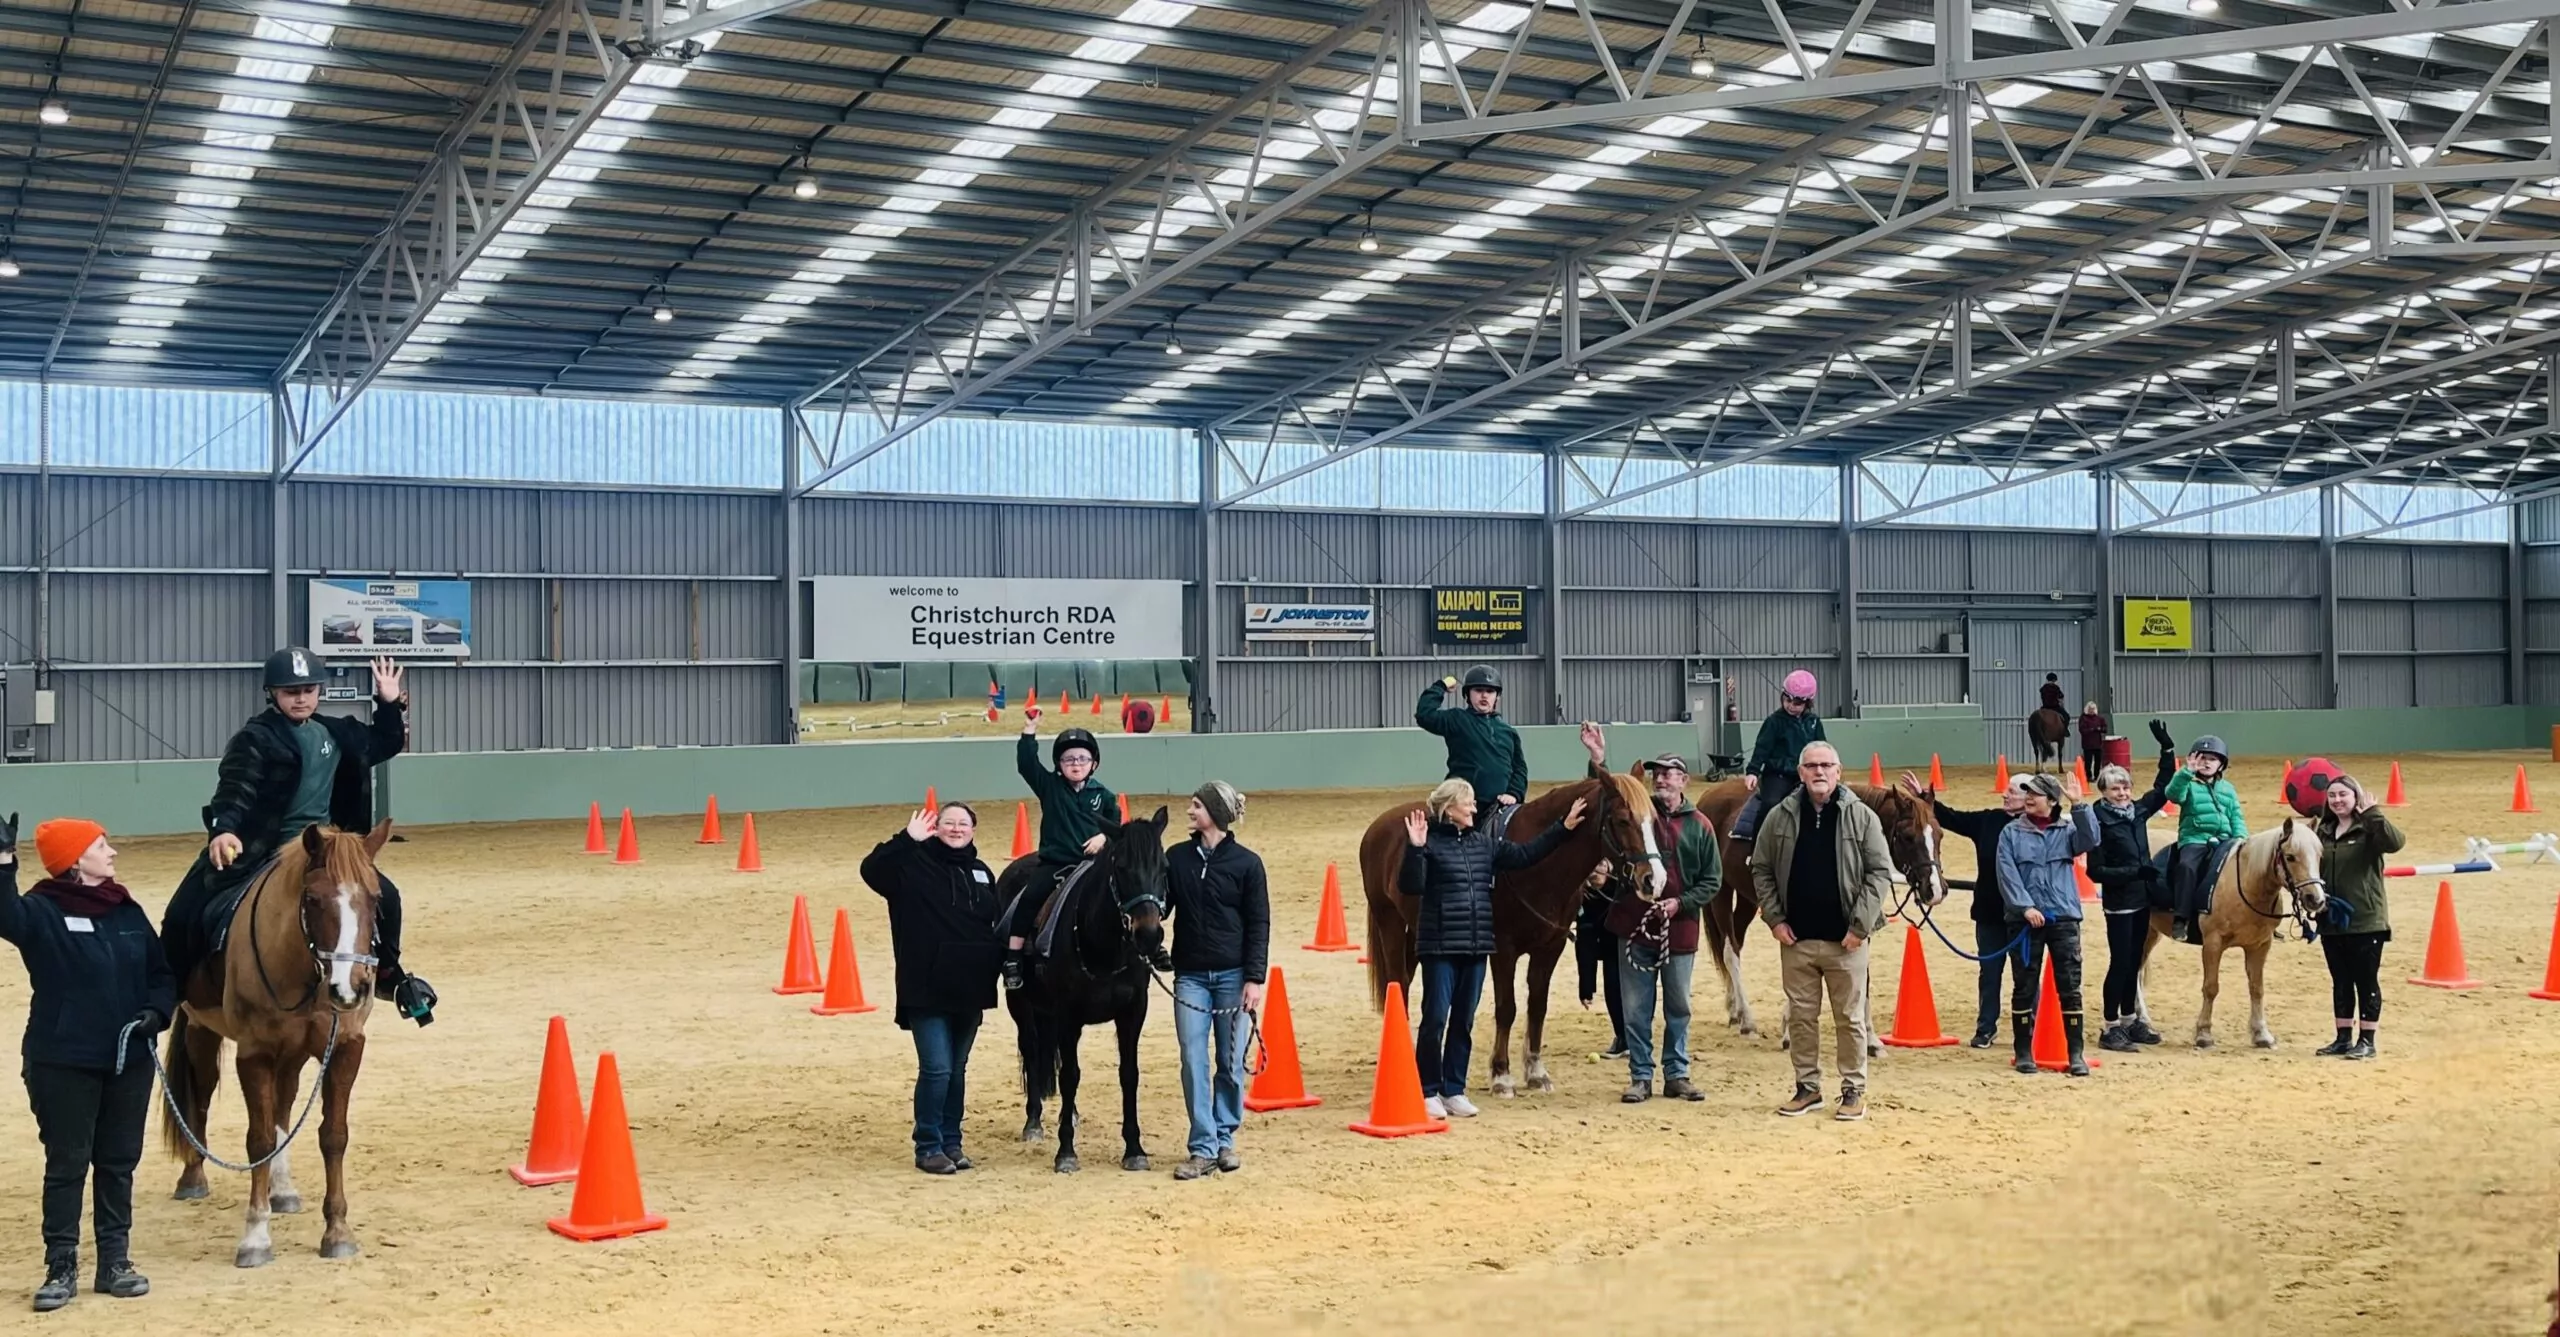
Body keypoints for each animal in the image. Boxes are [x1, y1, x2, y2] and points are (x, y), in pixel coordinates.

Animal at [165, 814, 389, 1265]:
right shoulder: (254, 1054)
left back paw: (282, 1189)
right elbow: (260, 1138)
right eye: (314, 899)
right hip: (201, 1031)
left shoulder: (345, 1048)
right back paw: (193, 1176)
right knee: (200, 1097)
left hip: (294, 1054)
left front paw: (337, 1230)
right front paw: (255, 1236)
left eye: (375, 899)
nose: (350, 988)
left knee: (284, 1106)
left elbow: (332, 1135)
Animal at [998, 799, 1172, 1167]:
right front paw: (1066, 1152)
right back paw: (1033, 1123)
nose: (1149, 935)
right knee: (1032, 1049)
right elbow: (1070, 1075)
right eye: (1121, 867)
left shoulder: (1133, 1011)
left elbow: (1128, 1073)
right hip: (1020, 1003)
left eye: (1163, 866)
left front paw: (1134, 1149)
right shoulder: (1068, 1015)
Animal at [1351, 768, 1669, 1091]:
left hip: (1418, 931)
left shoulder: (1550, 948)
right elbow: (1507, 1008)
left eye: (1653, 820)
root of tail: (1380, 824)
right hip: (1388, 921)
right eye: (1622, 820)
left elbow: (1537, 1006)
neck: (1539, 869)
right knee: (1398, 982)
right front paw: (1501, 1074)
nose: (1654, 880)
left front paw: (1536, 1072)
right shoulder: (1504, 950)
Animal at [1689, 768, 1945, 1039]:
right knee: (1730, 950)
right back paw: (1747, 1020)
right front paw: (1790, 1029)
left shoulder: (1861, 915)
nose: (1936, 890)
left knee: (1736, 941)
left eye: (1940, 834)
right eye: (1908, 837)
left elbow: (1861, 972)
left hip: (1747, 899)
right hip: (1721, 892)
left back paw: (1735, 1010)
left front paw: (1870, 1038)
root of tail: (1708, 796)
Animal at [2129, 814, 2334, 1045]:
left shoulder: (2259, 946)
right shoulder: (2213, 943)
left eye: (2319, 855)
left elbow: (2257, 988)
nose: (2316, 899)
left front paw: (2261, 1033)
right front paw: (2204, 1033)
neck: (2245, 884)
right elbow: (2211, 987)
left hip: (2150, 933)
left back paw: (2142, 1018)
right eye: (2290, 857)